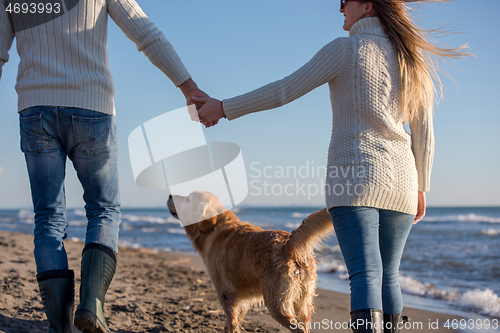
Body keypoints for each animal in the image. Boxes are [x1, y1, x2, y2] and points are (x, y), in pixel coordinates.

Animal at [166, 189, 334, 332]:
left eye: (188, 199)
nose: (169, 195)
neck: (215, 229)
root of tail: (288, 242)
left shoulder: (226, 293)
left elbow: (231, 321)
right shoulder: (242, 298)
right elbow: (234, 321)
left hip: (276, 303)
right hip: (302, 302)